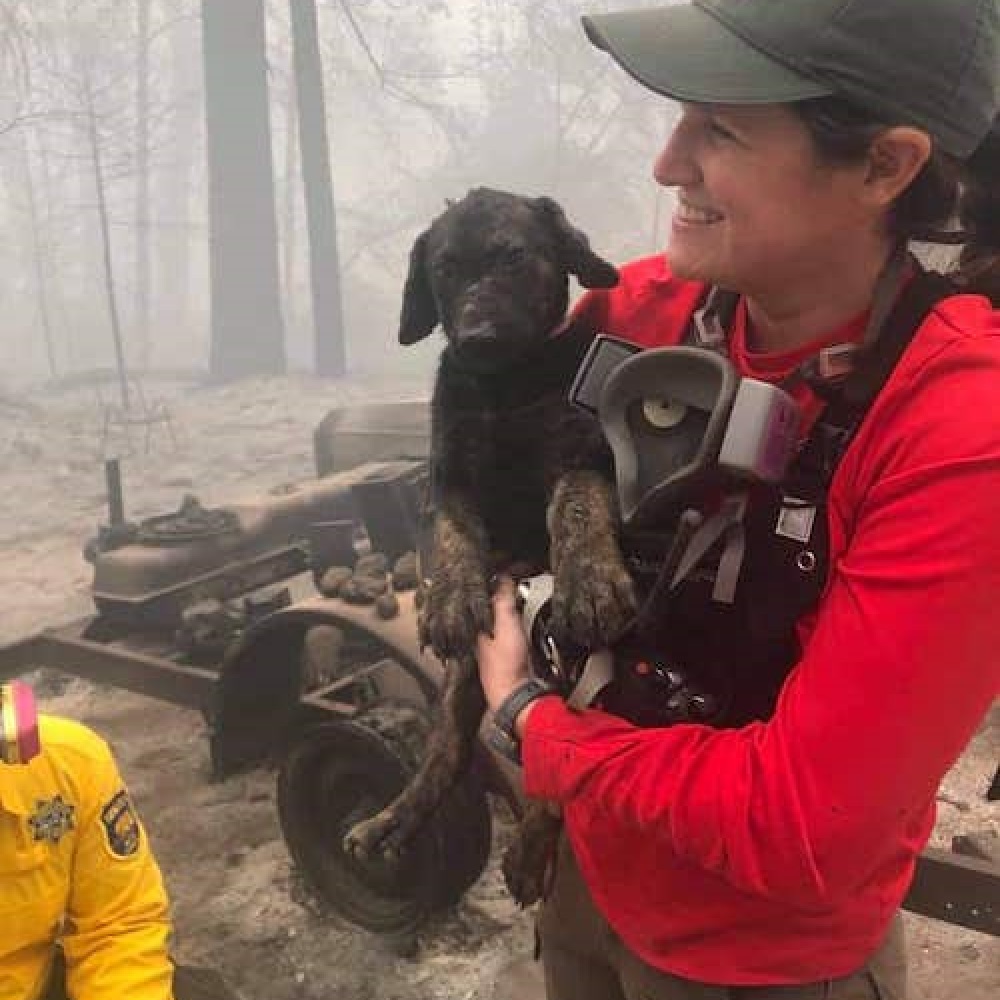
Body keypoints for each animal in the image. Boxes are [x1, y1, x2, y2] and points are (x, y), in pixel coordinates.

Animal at [344, 188, 636, 900]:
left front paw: (589, 582)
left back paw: (530, 851)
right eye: (444, 270)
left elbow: (576, 505)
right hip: (462, 684)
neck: (508, 384)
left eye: (513, 256)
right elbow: (452, 536)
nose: (477, 338)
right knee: (448, 753)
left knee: (559, 757)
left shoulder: (583, 454)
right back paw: (392, 822)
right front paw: (450, 599)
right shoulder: (447, 476)